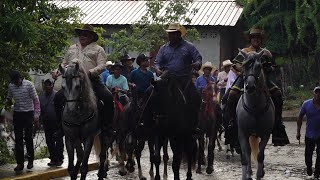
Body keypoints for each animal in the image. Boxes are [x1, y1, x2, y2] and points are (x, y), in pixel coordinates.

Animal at [238, 49, 276, 180]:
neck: (254, 108)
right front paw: (246, 175)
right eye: (244, 66)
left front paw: (259, 174)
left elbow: (260, 154)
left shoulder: (265, 134)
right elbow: (246, 155)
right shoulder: (243, 133)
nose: (250, 87)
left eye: (259, 66)